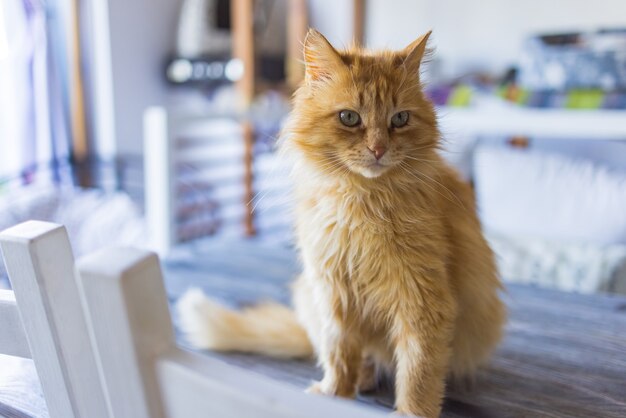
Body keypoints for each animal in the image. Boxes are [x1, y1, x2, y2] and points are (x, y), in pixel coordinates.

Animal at [178, 30, 504, 418]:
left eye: (399, 119)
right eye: (349, 117)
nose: (378, 149)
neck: (362, 202)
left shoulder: (421, 299)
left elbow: (418, 371)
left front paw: (411, 411)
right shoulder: (334, 292)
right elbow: (339, 353)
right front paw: (334, 395)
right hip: (309, 297)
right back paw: (363, 376)